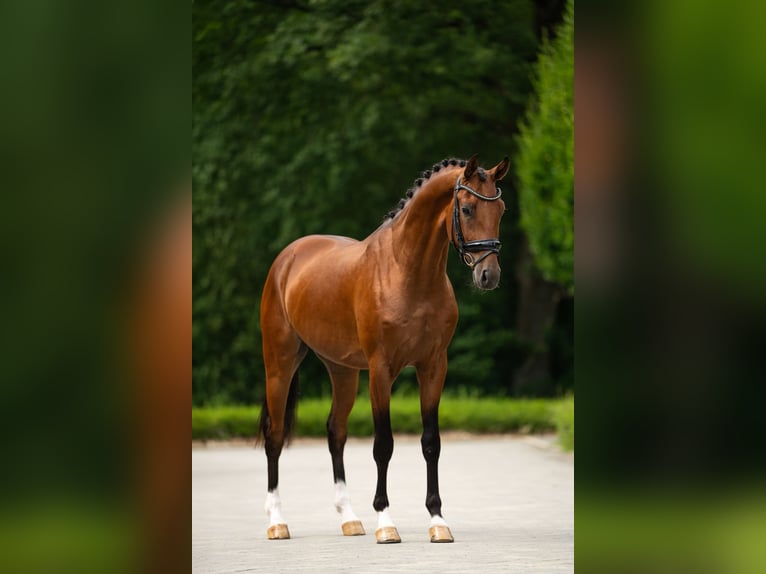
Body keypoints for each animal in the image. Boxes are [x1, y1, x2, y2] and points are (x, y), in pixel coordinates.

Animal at [257, 154, 509, 543]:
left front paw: (438, 521)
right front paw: (386, 522)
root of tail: (287, 258)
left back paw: (349, 518)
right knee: (275, 436)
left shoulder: (433, 367)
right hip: (280, 364)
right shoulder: (381, 370)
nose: (488, 275)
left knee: (335, 432)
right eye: (467, 209)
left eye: (500, 209)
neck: (406, 272)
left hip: (342, 371)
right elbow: (383, 445)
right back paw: (277, 522)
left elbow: (431, 442)